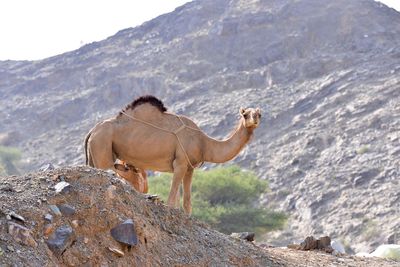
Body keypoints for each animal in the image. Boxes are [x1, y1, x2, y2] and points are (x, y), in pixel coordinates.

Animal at [83, 95, 262, 215]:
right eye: (245, 114)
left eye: (259, 114)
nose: (254, 121)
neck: (203, 143)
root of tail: (92, 131)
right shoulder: (180, 163)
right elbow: (171, 201)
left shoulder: (190, 168)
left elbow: (186, 202)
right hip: (102, 144)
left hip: (95, 152)